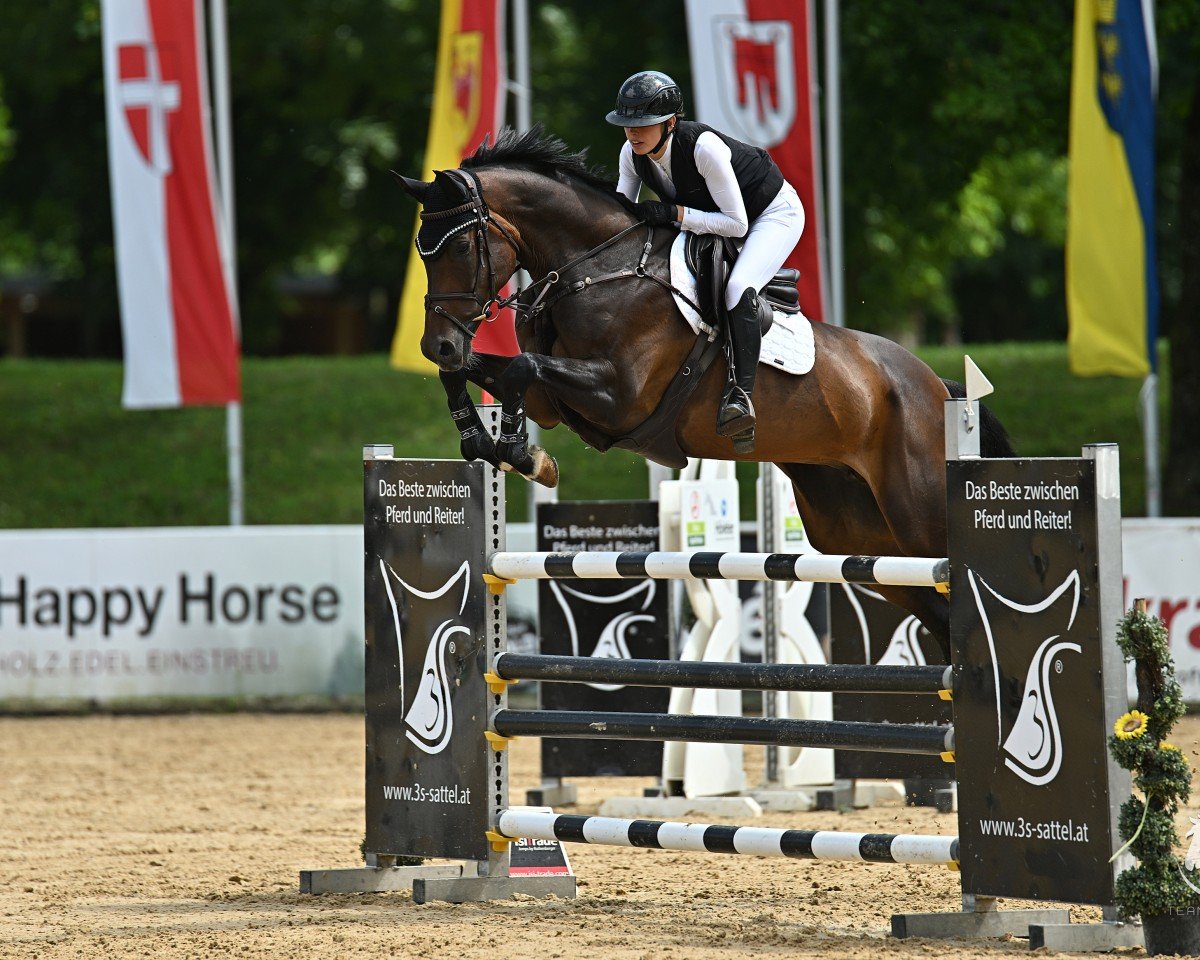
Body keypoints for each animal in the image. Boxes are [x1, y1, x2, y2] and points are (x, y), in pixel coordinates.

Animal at [394, 127, 1013, 658]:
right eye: (421, 249)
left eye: (457, 249)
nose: (435, 344)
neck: (594, 267)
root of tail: (936, 387)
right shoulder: (558, 401)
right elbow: (489, 372)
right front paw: (484, 441)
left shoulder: (619, 397)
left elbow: (521, 369)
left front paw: (519, 453)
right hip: (857, 532)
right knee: (935, 616)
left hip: (919, 514)